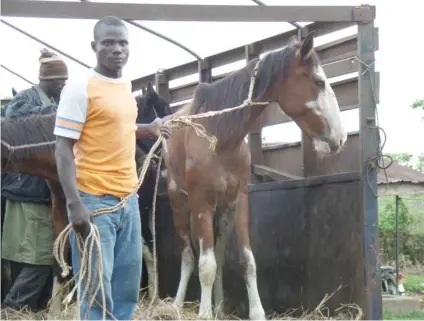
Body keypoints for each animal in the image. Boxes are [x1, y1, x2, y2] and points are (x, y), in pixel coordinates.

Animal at [164, 31, 346, 318]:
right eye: (319, 81)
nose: (340, 138)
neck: (219, 136)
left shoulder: (238, 201)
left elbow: (245, 260)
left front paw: (254, 312)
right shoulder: (201, 202)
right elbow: (204, 265)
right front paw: (203, 314)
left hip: (221, 212)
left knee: (218, 255)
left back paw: (218, 307)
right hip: (181, 205)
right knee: (189, 256)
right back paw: (176, 305)